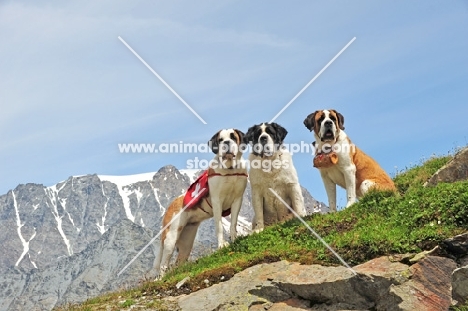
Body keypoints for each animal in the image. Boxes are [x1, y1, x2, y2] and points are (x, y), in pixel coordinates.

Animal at [154, 128, 249, 280]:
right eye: (220, 140)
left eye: (233, 137)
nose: (227, 142)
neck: (230, 170)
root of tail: (172, 204)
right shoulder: (217, 201)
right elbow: (219, 226)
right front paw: (222, 245)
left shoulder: (237, 200)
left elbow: (233, 223)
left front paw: (235, 239)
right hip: (171, 237)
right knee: (164, 263)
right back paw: (162, 278)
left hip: (187, 241)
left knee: (178, 262)